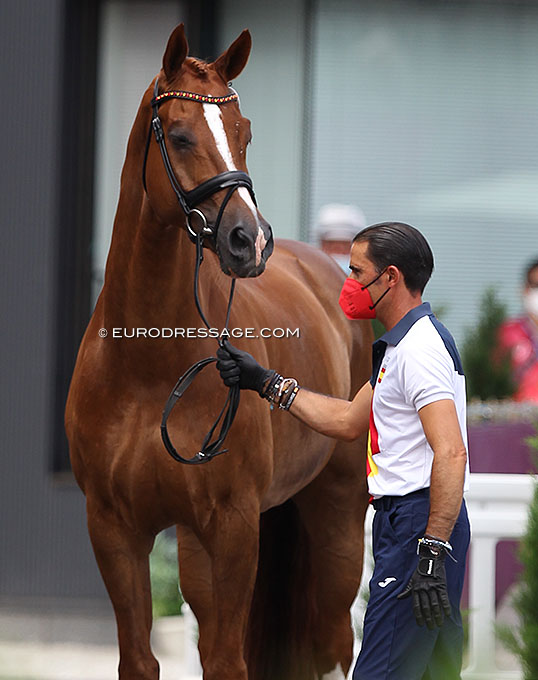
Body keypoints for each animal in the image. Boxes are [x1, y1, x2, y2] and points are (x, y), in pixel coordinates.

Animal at [65, 23, 370, 680]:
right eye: (180, 135)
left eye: (244, 132)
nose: (248, 241)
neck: (148, 367)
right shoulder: (113, 529)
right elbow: (141, 659)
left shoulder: (233, 526)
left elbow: (230, 661)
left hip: (336, 514)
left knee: (336, 641)